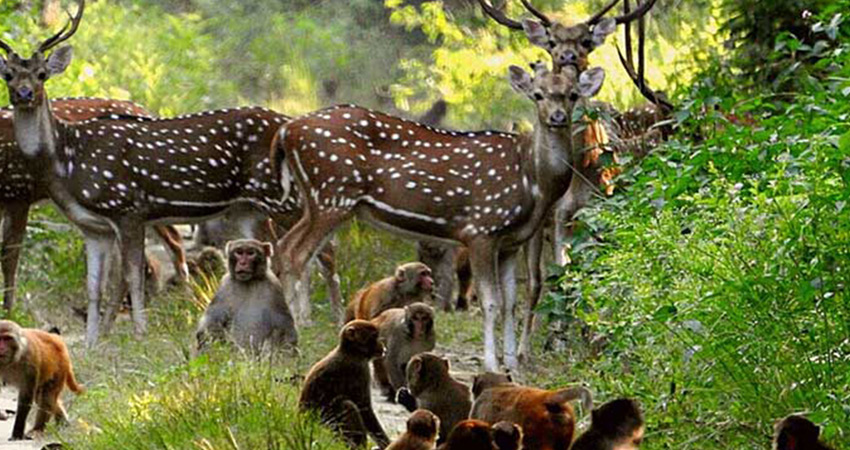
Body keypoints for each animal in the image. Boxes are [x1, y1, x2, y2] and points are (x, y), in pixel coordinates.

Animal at [0, 98, 189, 312]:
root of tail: (145, 110)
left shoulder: (19, 191)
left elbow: (9, 255)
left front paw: (9, 309)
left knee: (174, 240)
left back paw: (185, 300)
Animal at [274, 64, 608, 372]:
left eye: (572, 94)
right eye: (537, 94)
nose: (557, 117)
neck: (532, 182)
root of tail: (286, 132)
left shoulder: (511, 243)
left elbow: (511, 302)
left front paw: (512, 364)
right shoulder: (481, 229)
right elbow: (491, 302)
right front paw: (492, 364)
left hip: (317, 201)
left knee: (284, 246)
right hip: (332, 195)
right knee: (294, 254)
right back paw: (293, 340)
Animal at [298, 320, 390, 450]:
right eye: (373, 337)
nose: (382, 346)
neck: (351, 352)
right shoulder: (359, 370)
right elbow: (364, 408)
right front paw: (387, 444)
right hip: (325, 428)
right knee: (346, 405)